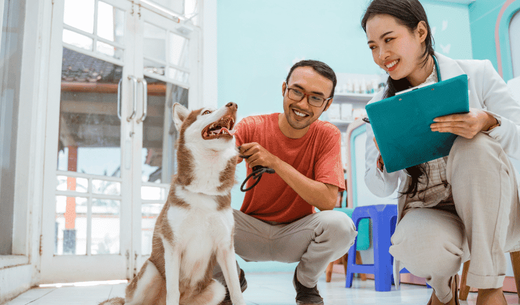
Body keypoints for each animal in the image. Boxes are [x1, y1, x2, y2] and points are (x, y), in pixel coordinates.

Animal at [102, 102, 247, 304]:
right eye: (206, 112)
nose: (233, 104)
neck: (204, 189)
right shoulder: (172, 245)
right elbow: (173, 291)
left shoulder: (225, 247)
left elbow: (236, 291)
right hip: (150, 271)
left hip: (216, 289)